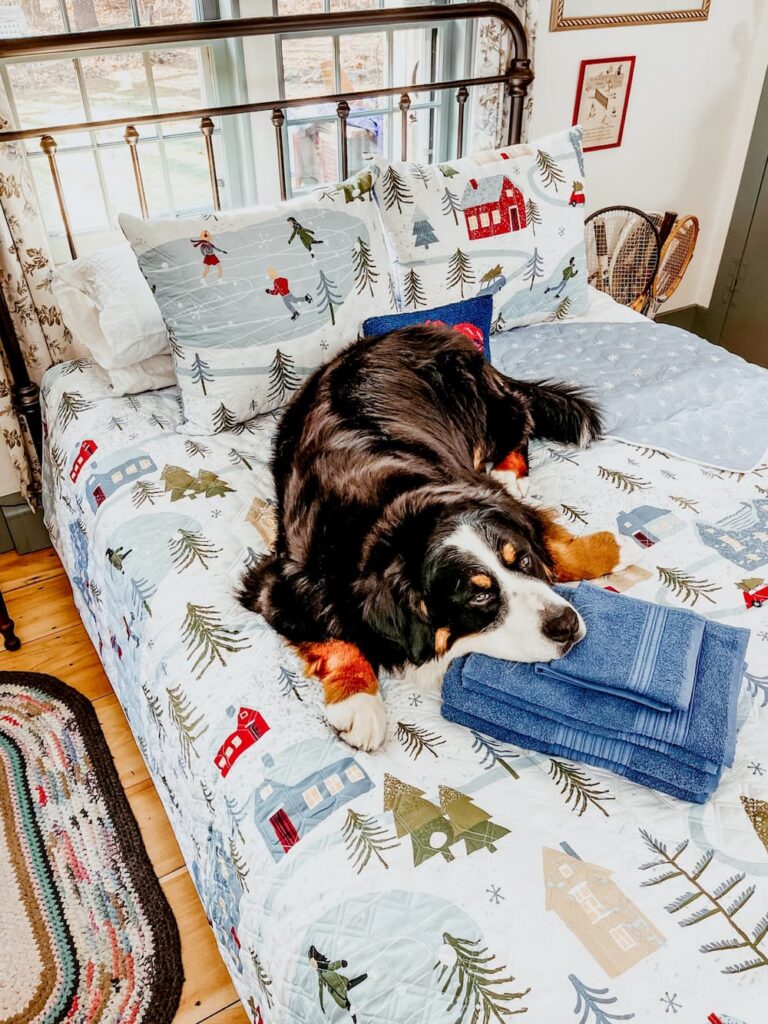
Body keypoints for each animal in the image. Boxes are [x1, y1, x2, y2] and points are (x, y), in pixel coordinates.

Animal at [240, 327, 626, 753]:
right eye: (479, 596)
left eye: (523, 561)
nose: (567, 624)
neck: (396, 514)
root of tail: (429, 329)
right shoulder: (279, 586)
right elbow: (333, 635)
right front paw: (358, 701)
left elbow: (550, 541)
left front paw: (603, 549)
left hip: (492, 411)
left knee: (520, 422)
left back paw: (510, 472)